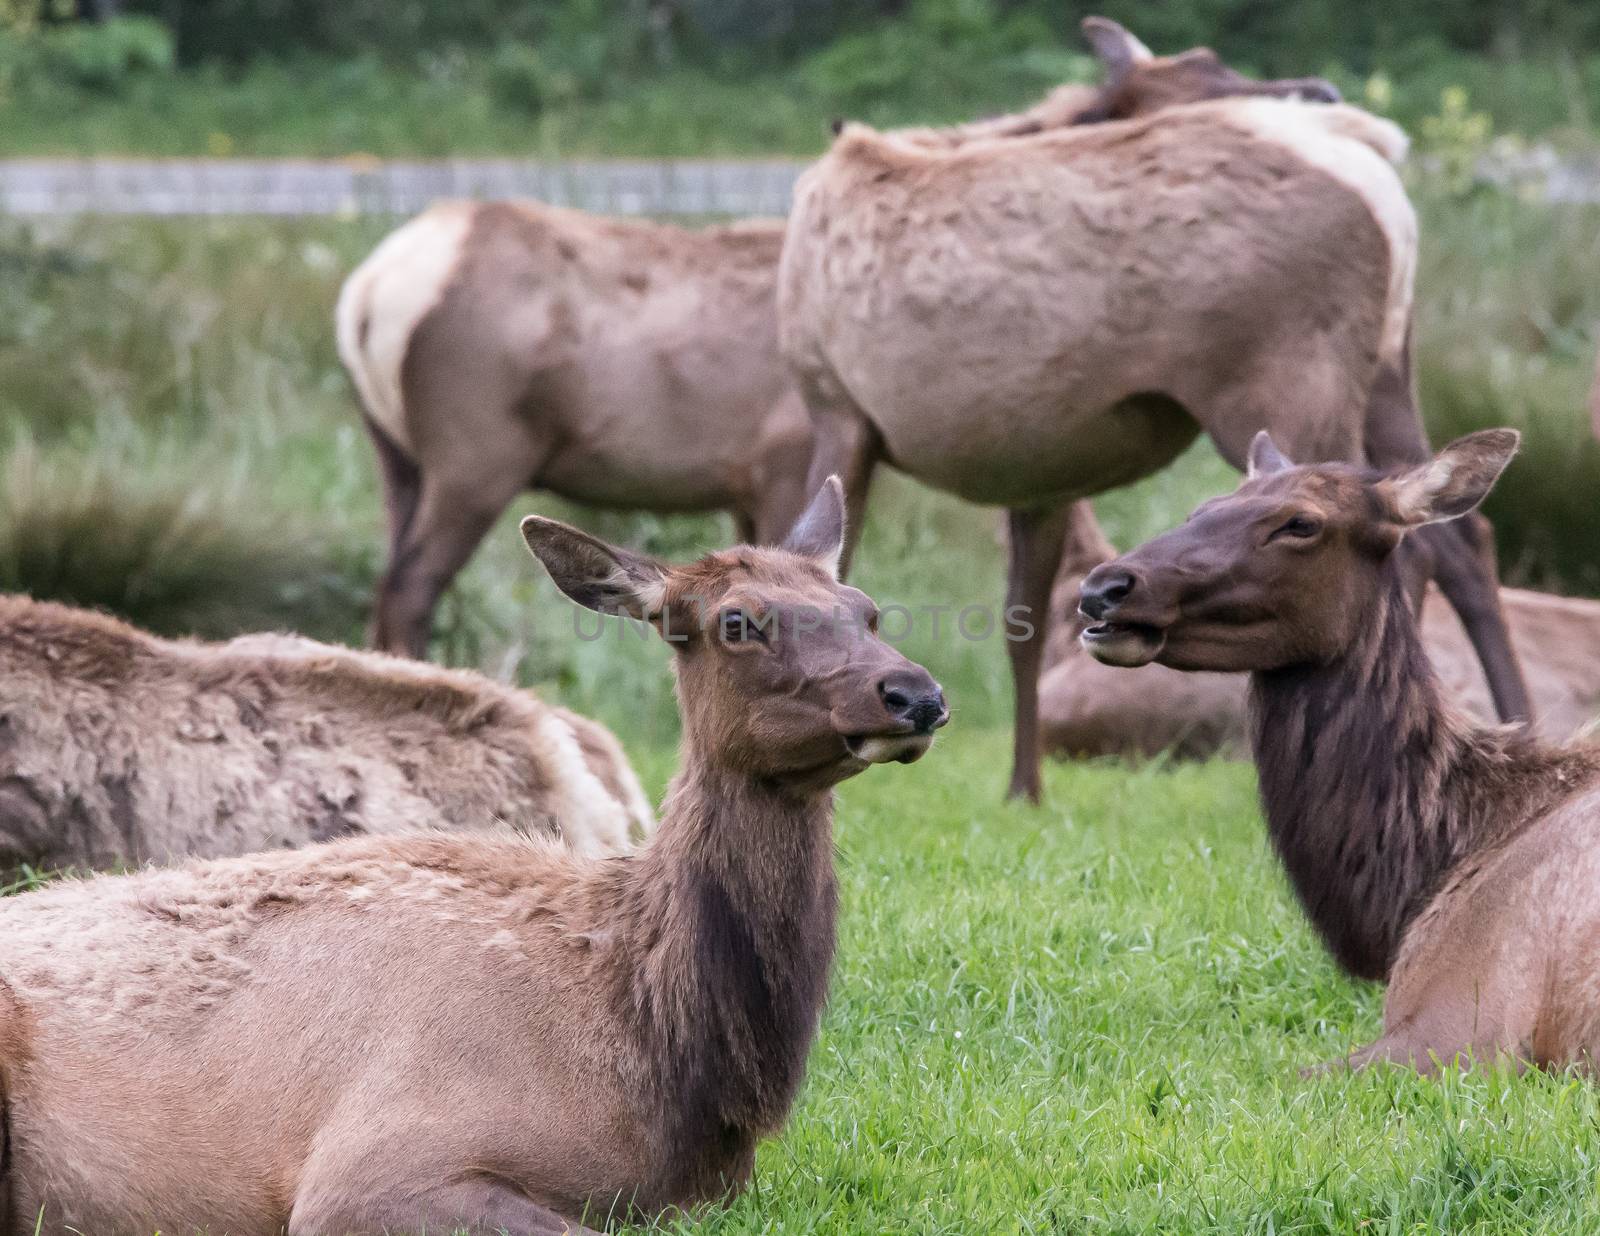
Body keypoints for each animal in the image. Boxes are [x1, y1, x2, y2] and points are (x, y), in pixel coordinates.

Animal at [344, 14, 1344, 662]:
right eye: (1192, 85)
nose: (1321, 88)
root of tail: (363, 295)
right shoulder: (786, 455)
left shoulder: (751, 484)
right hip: (476, 454)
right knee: (409, 590)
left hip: (398, 459)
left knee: (386, 588)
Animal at [780, 91, 1529, 800]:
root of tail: (1377, 173)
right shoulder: (1040, 468)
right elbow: (1023, 621)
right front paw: (1024, 792)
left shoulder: (838, 408)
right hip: (1388, 374)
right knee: (1461, 533)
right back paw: (1518, 723)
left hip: (1289, 377)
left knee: (1395, 531)